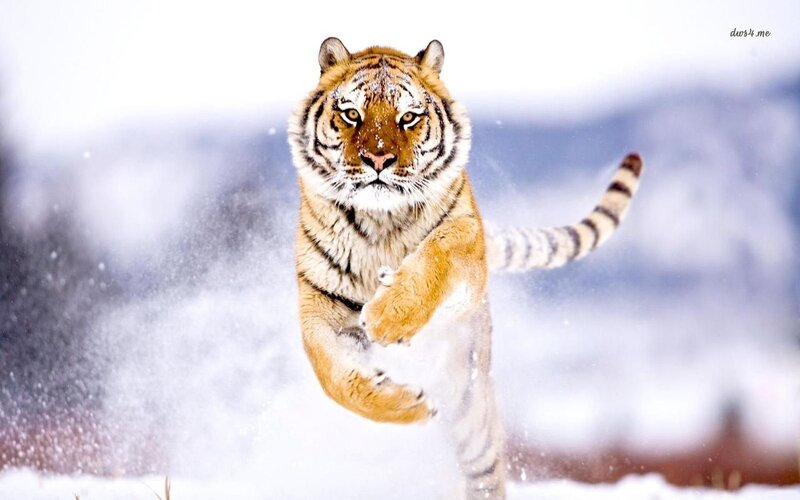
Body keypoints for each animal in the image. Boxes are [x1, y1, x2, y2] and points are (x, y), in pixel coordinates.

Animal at [288, 37, 643, 499]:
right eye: (351, 114)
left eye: (408, 117)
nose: (378, 159)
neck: (381, 222)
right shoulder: (321, 306)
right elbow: (334, 378)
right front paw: (407, 403)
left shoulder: (467, 249)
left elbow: (439, 251)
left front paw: (388, 315)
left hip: (471, 408)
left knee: (485, 471)